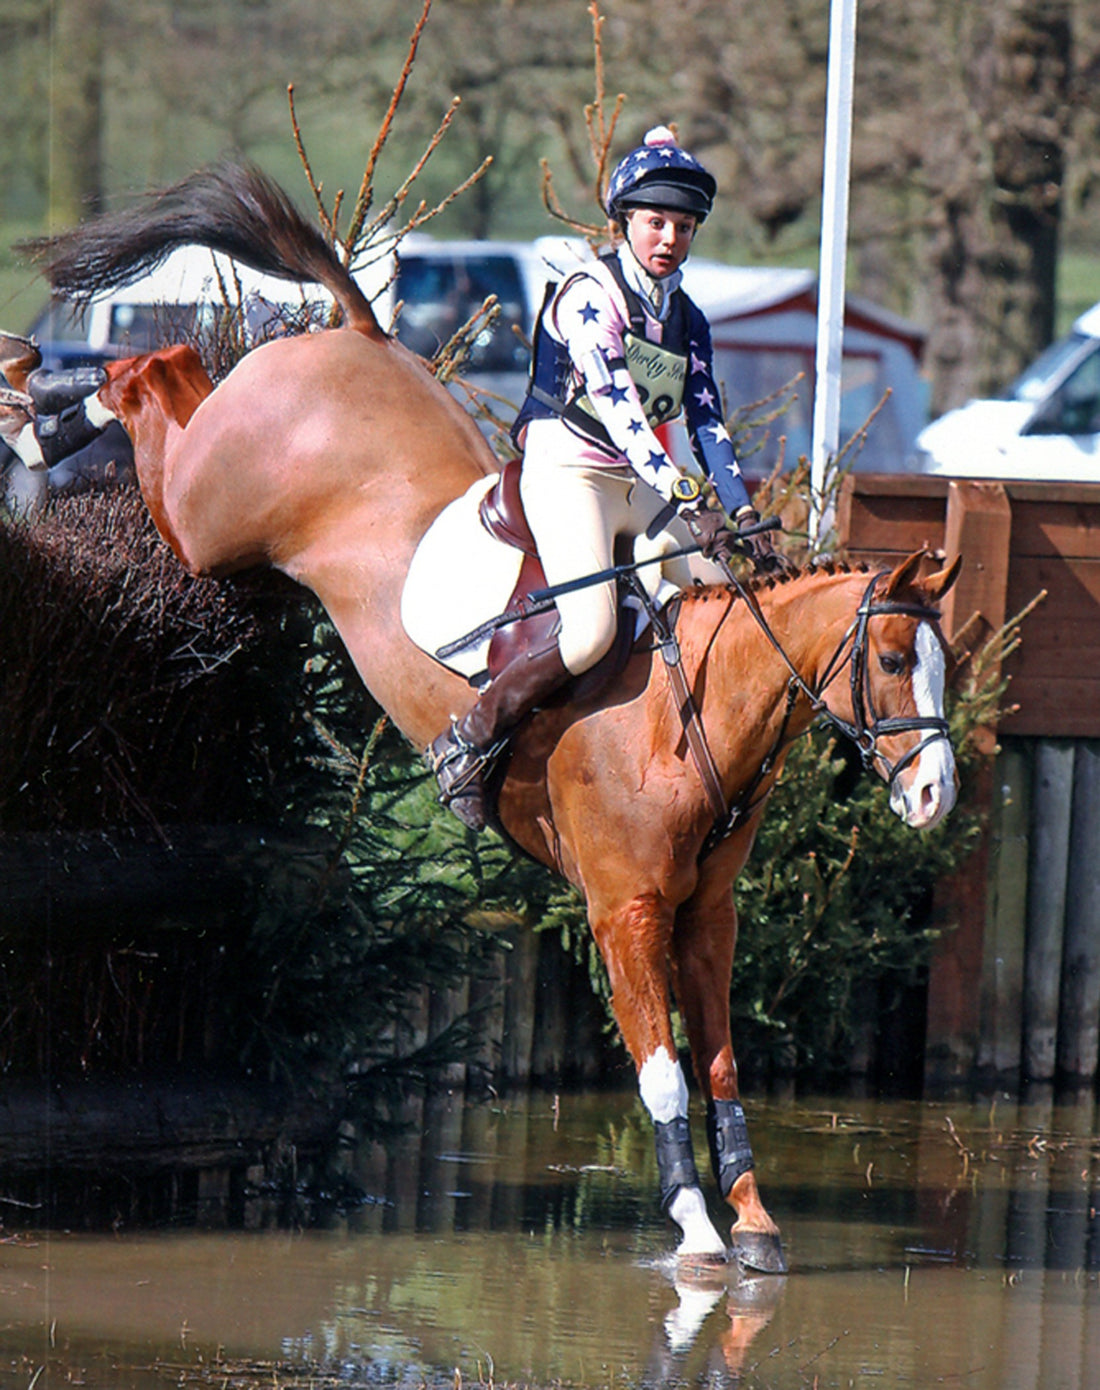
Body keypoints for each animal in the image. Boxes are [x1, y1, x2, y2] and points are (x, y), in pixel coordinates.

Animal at [21, 162, 956, 1273]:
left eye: (947, 663)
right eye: (893, 661)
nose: (937, 793)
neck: (688, 722)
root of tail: (359, 333)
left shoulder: (706, 916)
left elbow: (725, 1065)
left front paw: (755, 1220)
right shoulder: (626, 912)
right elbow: (663, 1073)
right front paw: (693, 1227)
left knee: (169, 373)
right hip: (209, 522)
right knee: (151, 375)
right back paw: (38, 413)